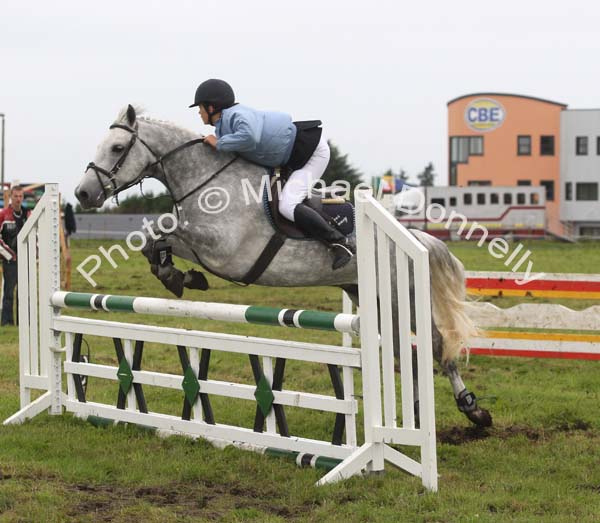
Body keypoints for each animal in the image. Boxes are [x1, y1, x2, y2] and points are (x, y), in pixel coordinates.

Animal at [75, 104, 492, 428]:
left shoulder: (222, 249)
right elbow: (153, 238)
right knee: (410, 353)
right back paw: (424, 414)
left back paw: (473, 411)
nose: (83, 193)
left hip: (396, 296)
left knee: (435, 347)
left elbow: (163, 232)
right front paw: (178, 276)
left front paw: (181, 275)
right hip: (368, 295)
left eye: (117, 147)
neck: (207, 180)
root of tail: (414, 238)